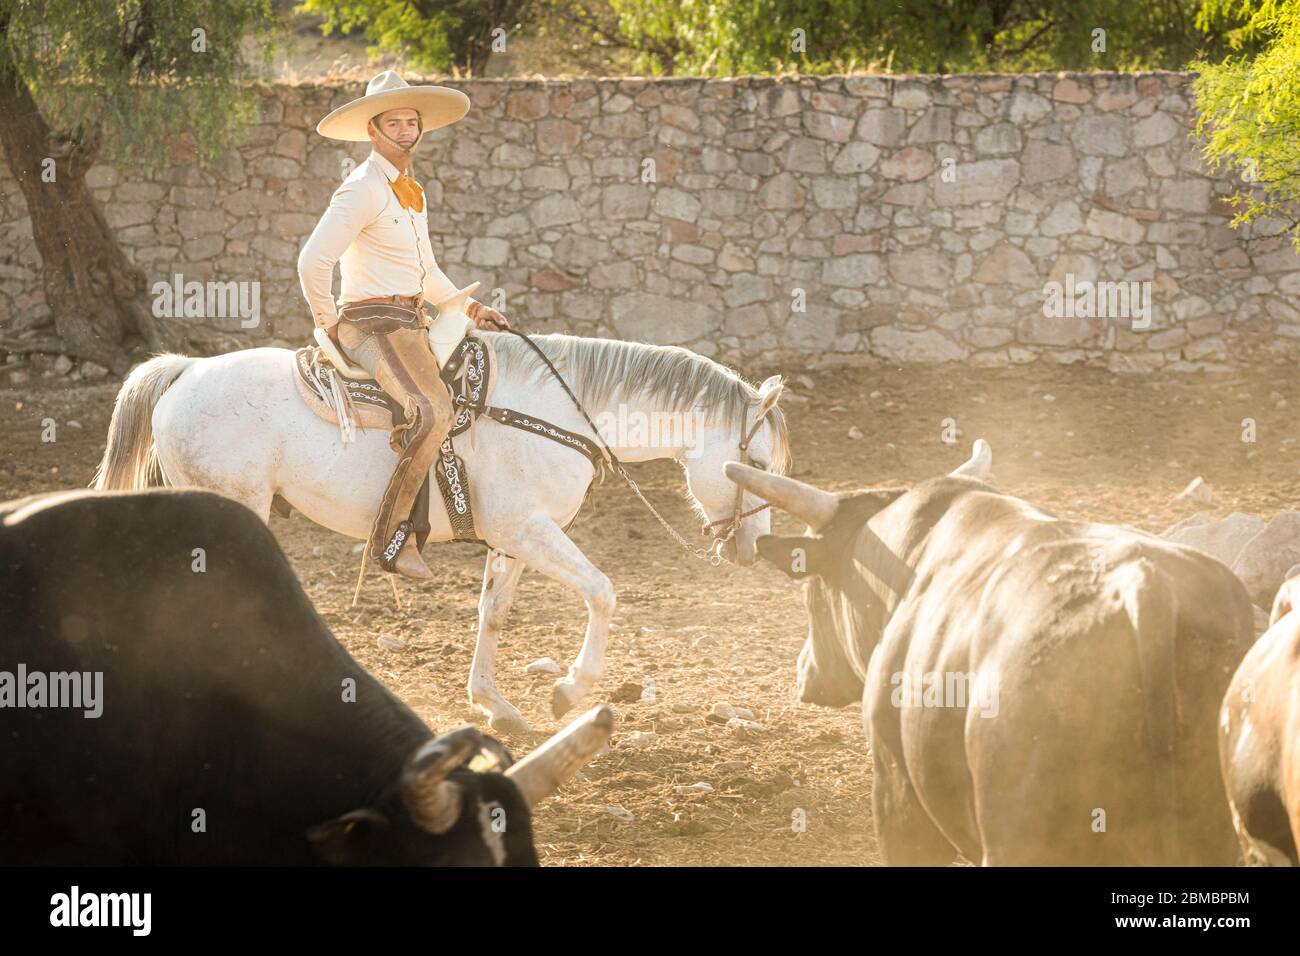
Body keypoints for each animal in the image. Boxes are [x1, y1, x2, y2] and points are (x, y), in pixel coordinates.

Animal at [94, 332, 790, 738]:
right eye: (755, 461)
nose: (751, 547)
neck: (555, 414)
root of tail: (185, 372)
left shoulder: (513, 537)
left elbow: (494, 611)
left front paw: (495, 705)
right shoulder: (530, 528)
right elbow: (602, 591)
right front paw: (569, 689)